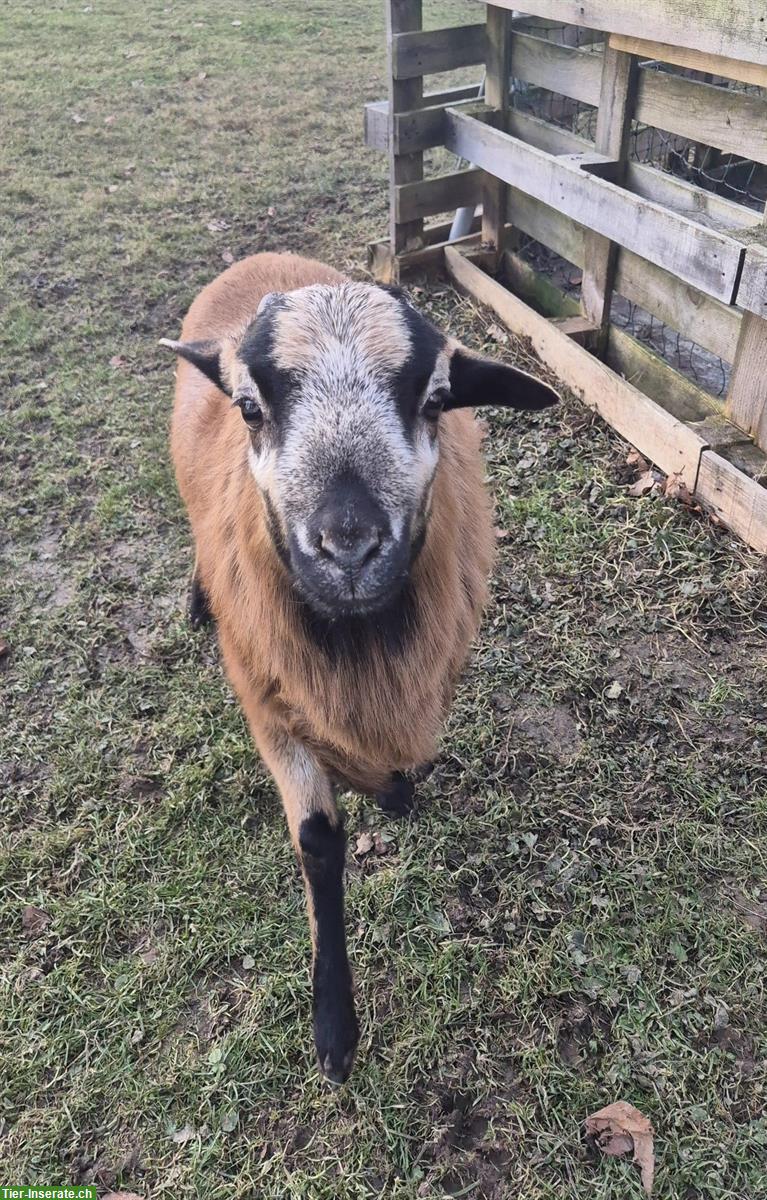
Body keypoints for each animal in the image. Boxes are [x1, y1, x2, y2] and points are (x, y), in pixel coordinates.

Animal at [162, 248, 556, 1084]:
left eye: (436, 399)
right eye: (248, 408)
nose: (346, 548)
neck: (355, 638)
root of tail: (263, 256)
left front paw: (398, 792)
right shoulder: (267, 699)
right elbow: (318, 842)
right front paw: (334, 1030)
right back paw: (197, 596)